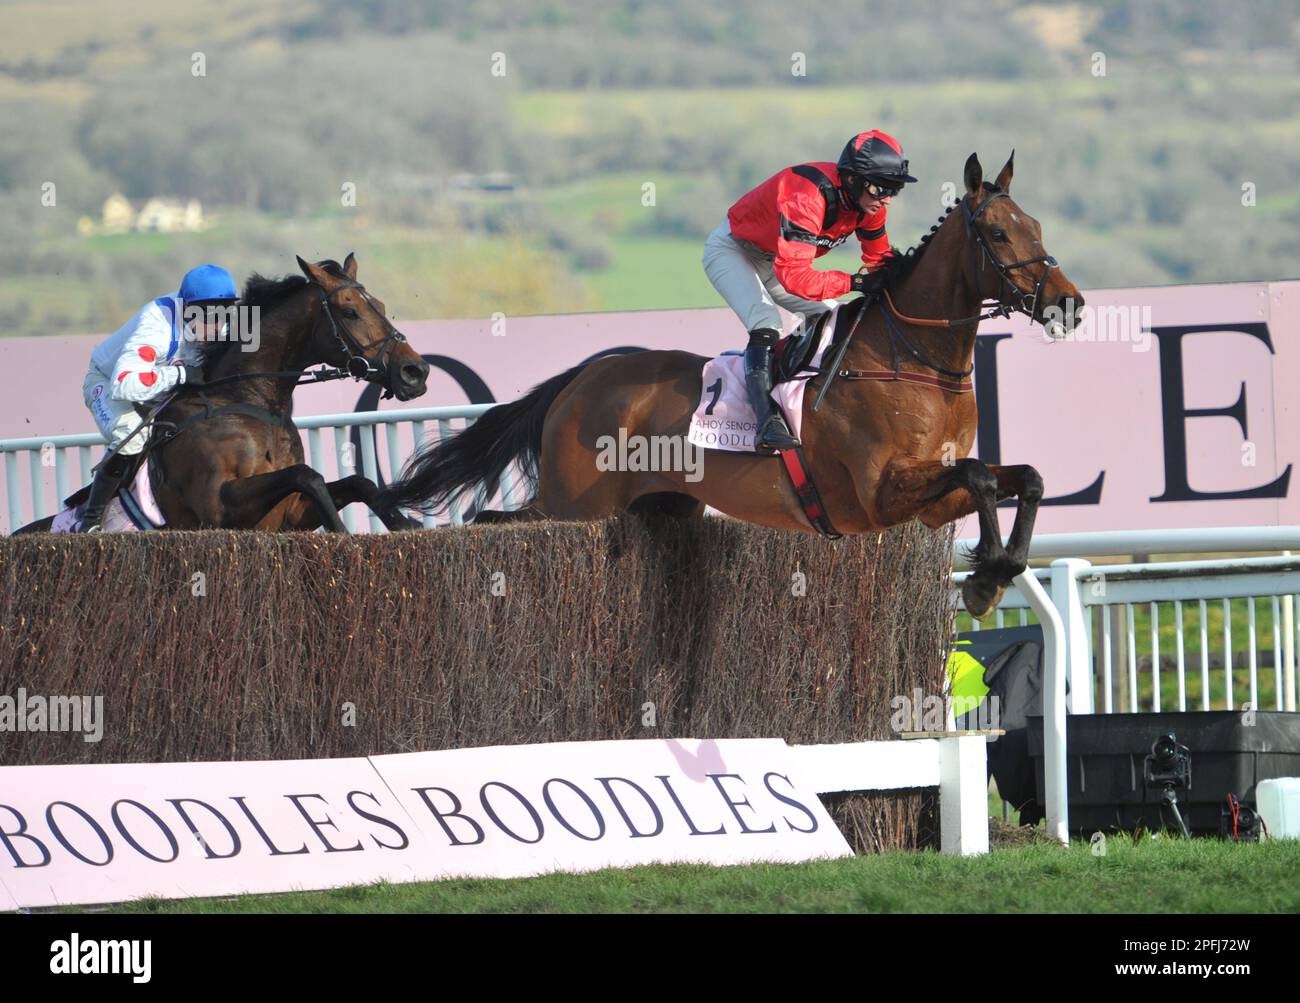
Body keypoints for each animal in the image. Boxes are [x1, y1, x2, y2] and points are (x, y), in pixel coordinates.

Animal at [384, 154, 1086, 618]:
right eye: (998, 233)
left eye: (1038, 227)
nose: (1070, 304)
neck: (914, 360)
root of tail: (581, 377)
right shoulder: (880, 492)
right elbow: (982, 475)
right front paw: (986, 574)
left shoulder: (927, 499)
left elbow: (1022, 478)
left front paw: (996, 572)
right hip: (578, 504)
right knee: (503, 519)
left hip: (657, 507)